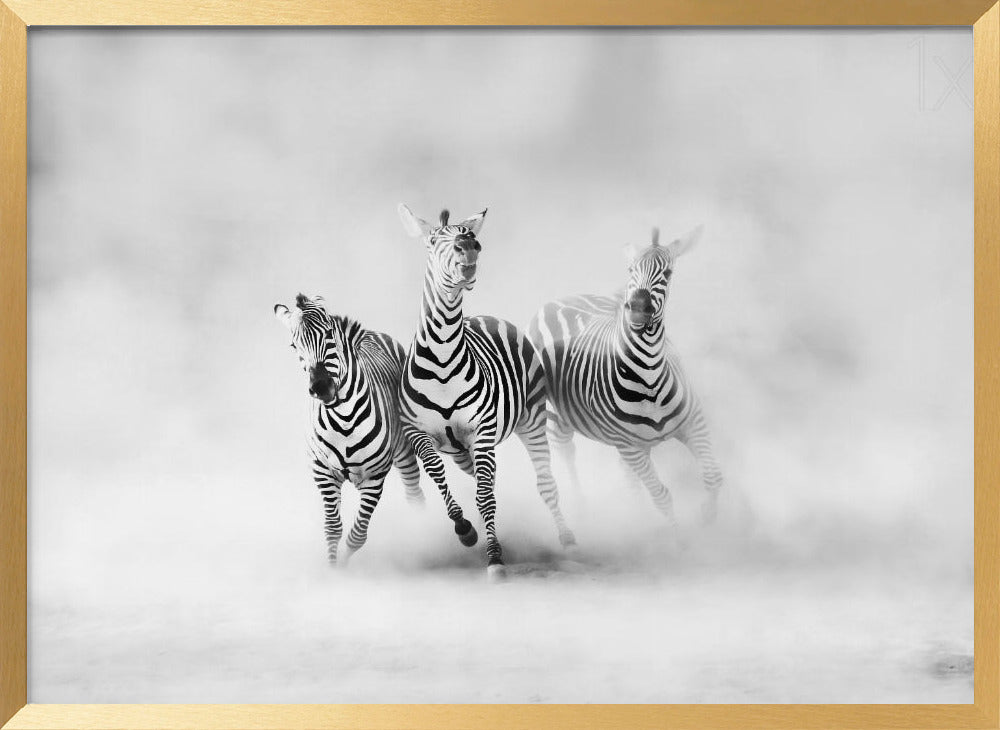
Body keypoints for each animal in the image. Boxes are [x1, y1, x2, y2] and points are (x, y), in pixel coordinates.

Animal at [274, 293, 425, 566]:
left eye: (329, 334)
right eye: (294, 346)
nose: (321, 387)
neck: (344, 418)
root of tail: (372, 333)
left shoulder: (375, 476)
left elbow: (357, 535)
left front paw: (343, 565)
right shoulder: (322, 471)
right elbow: (333, 528)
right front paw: (334, 569)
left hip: (404, 451)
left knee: (414, 493)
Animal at [397, 204, 576, 579]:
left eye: (469, 235)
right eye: (432, 240)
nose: (469, 247)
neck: (442, 358)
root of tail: (487, 316)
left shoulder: (481, 431)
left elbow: (484, 497)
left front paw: (494, 557)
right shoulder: (420, 434)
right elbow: (441, 479)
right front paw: (466, 530)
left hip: (531, 420)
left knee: (544, 482)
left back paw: (567, 539)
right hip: (462, 450)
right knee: (486, 480)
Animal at [527, 225, 724, 529]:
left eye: (668, 273)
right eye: (631, 269)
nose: (638, 307)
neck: (649, 375)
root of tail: (561, 299)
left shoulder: (693, 422)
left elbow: (713, 476)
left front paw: (709, 517)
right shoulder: (629, 446)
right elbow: (662, 496)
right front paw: (680, 537)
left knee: (627, 475)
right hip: (557, 415)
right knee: (565, 450)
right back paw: (582, 508)